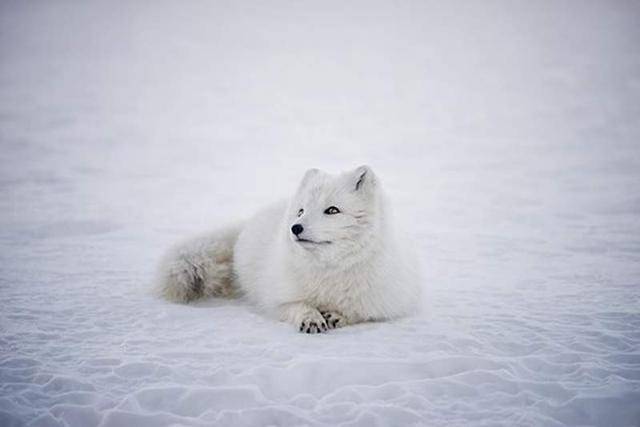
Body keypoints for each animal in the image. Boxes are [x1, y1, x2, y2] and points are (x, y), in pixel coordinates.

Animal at [158, 166, 422, 332]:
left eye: (332, 210)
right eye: (301, 211)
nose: (295, 228)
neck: (330, 270)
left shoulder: (387, 303)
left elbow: (361, 312)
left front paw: (338, 315)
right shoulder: (276, 297)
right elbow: (295, 305)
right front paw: (311, 318)